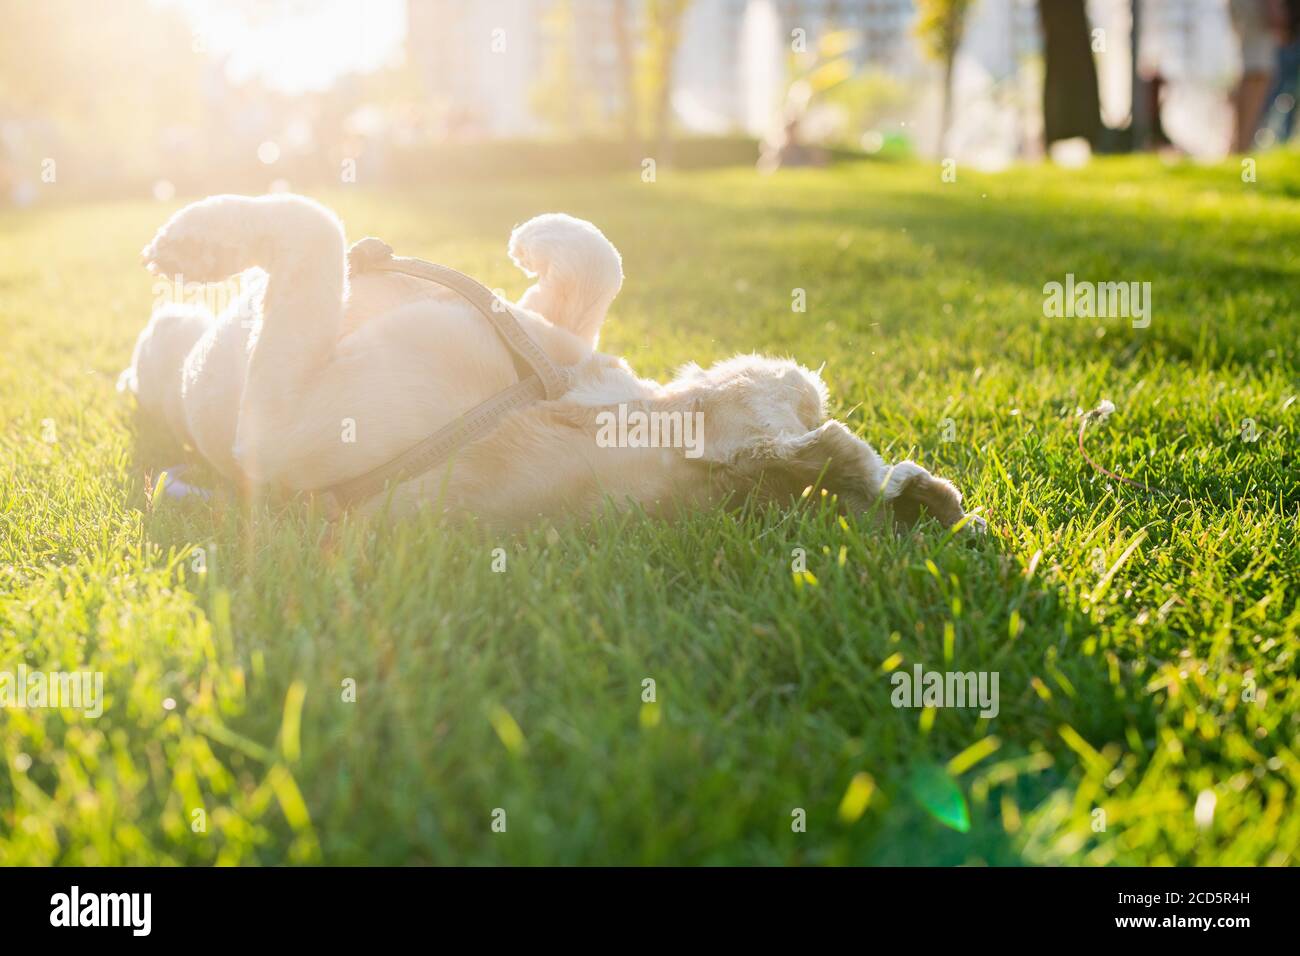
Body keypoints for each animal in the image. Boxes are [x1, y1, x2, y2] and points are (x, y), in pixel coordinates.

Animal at [122, 193, 977, 530]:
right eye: (807, 400)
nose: (812, 378)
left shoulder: (278, 425)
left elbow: (316, 226)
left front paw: (197, 237)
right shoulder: (552, 335)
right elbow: (600, 262)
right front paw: (542, 238)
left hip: (192, 372)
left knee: (168, 342)